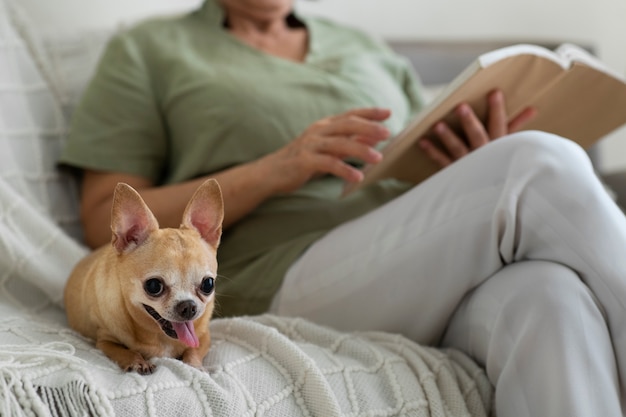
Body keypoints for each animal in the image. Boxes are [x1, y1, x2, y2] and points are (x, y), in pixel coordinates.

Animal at [63, 179, 223, 374]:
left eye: (208, 284)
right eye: (154, 286)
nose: (188, 306)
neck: (162, 337)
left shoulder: (204, 337)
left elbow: (194, 349)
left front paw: (194, 364)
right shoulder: (105, 340)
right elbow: (123, 351)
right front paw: (137, 361)